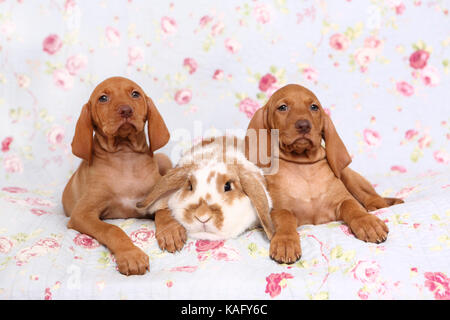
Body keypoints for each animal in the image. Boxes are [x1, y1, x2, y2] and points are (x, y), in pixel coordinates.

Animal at [62, 77, 185, 276]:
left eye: (135, 94)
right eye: (103, 98)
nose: (126, 110)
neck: (125, 156)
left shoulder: (156, 198)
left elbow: (164, 211)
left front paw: (170, 231)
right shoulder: (82, 214)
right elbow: (111, 229)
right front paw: (130, 255)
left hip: (164, 160)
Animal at [246, 84, 404, 264]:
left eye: (314, 107)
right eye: (283, 107)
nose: (304, 125)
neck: (303, 166)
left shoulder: (342, 200)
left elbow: (352, 206)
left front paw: (367, 222)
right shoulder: (277, 210)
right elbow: (285, 218)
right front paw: (285, 241)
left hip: (349, 176)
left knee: (373, 198)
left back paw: (375, 207)